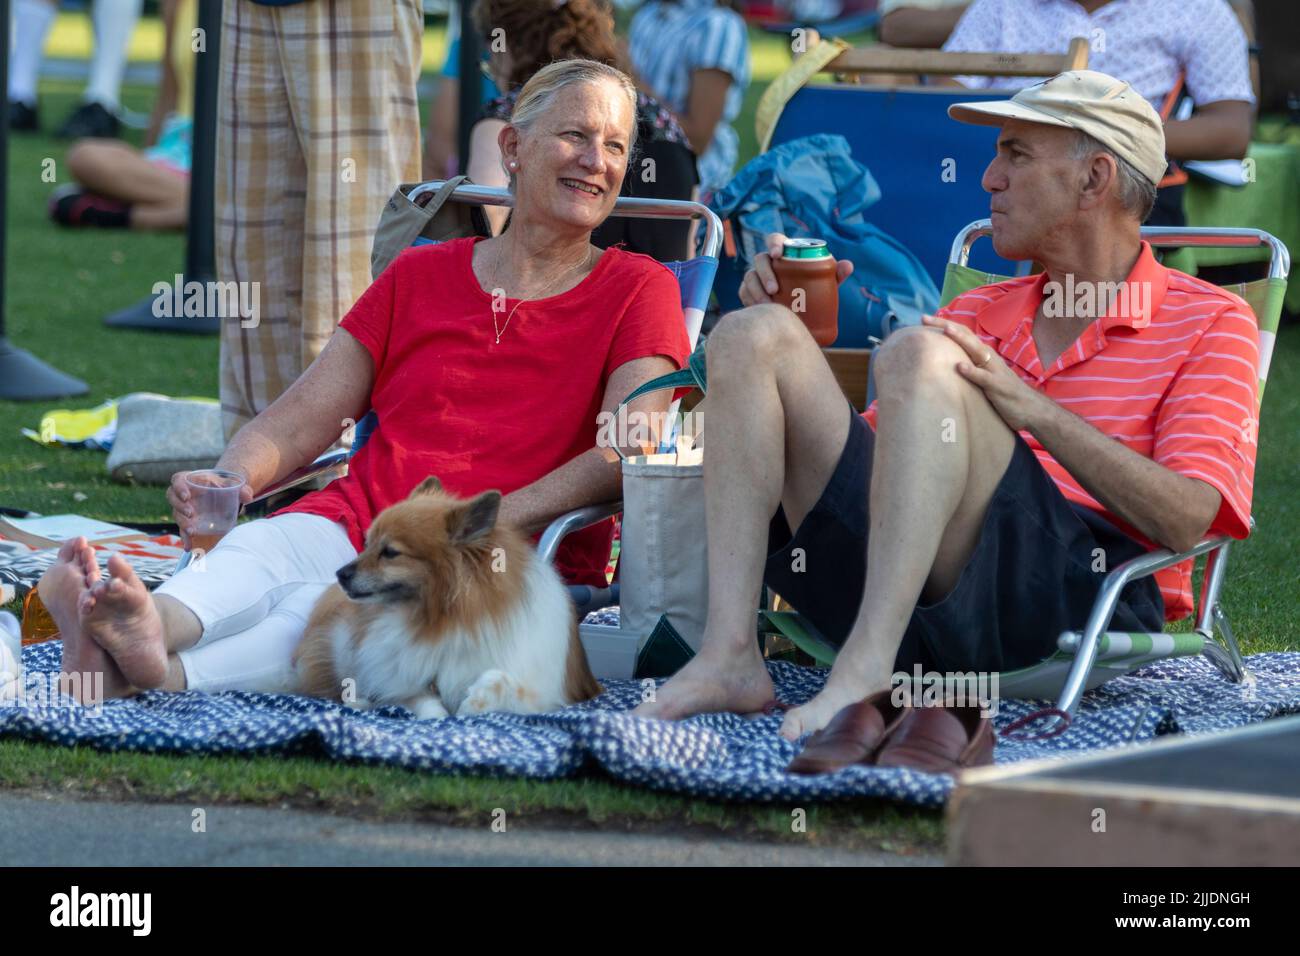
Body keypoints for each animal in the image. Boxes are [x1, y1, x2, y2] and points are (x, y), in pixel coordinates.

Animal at [292, 476, 600, 717]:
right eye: (367, 544)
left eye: (390, 552)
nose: (340, 573)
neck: (443, 621)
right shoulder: (407, 678)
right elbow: (423, 701)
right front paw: (437, 716)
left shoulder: (545, 694)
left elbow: (500, 680)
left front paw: (473, 703)